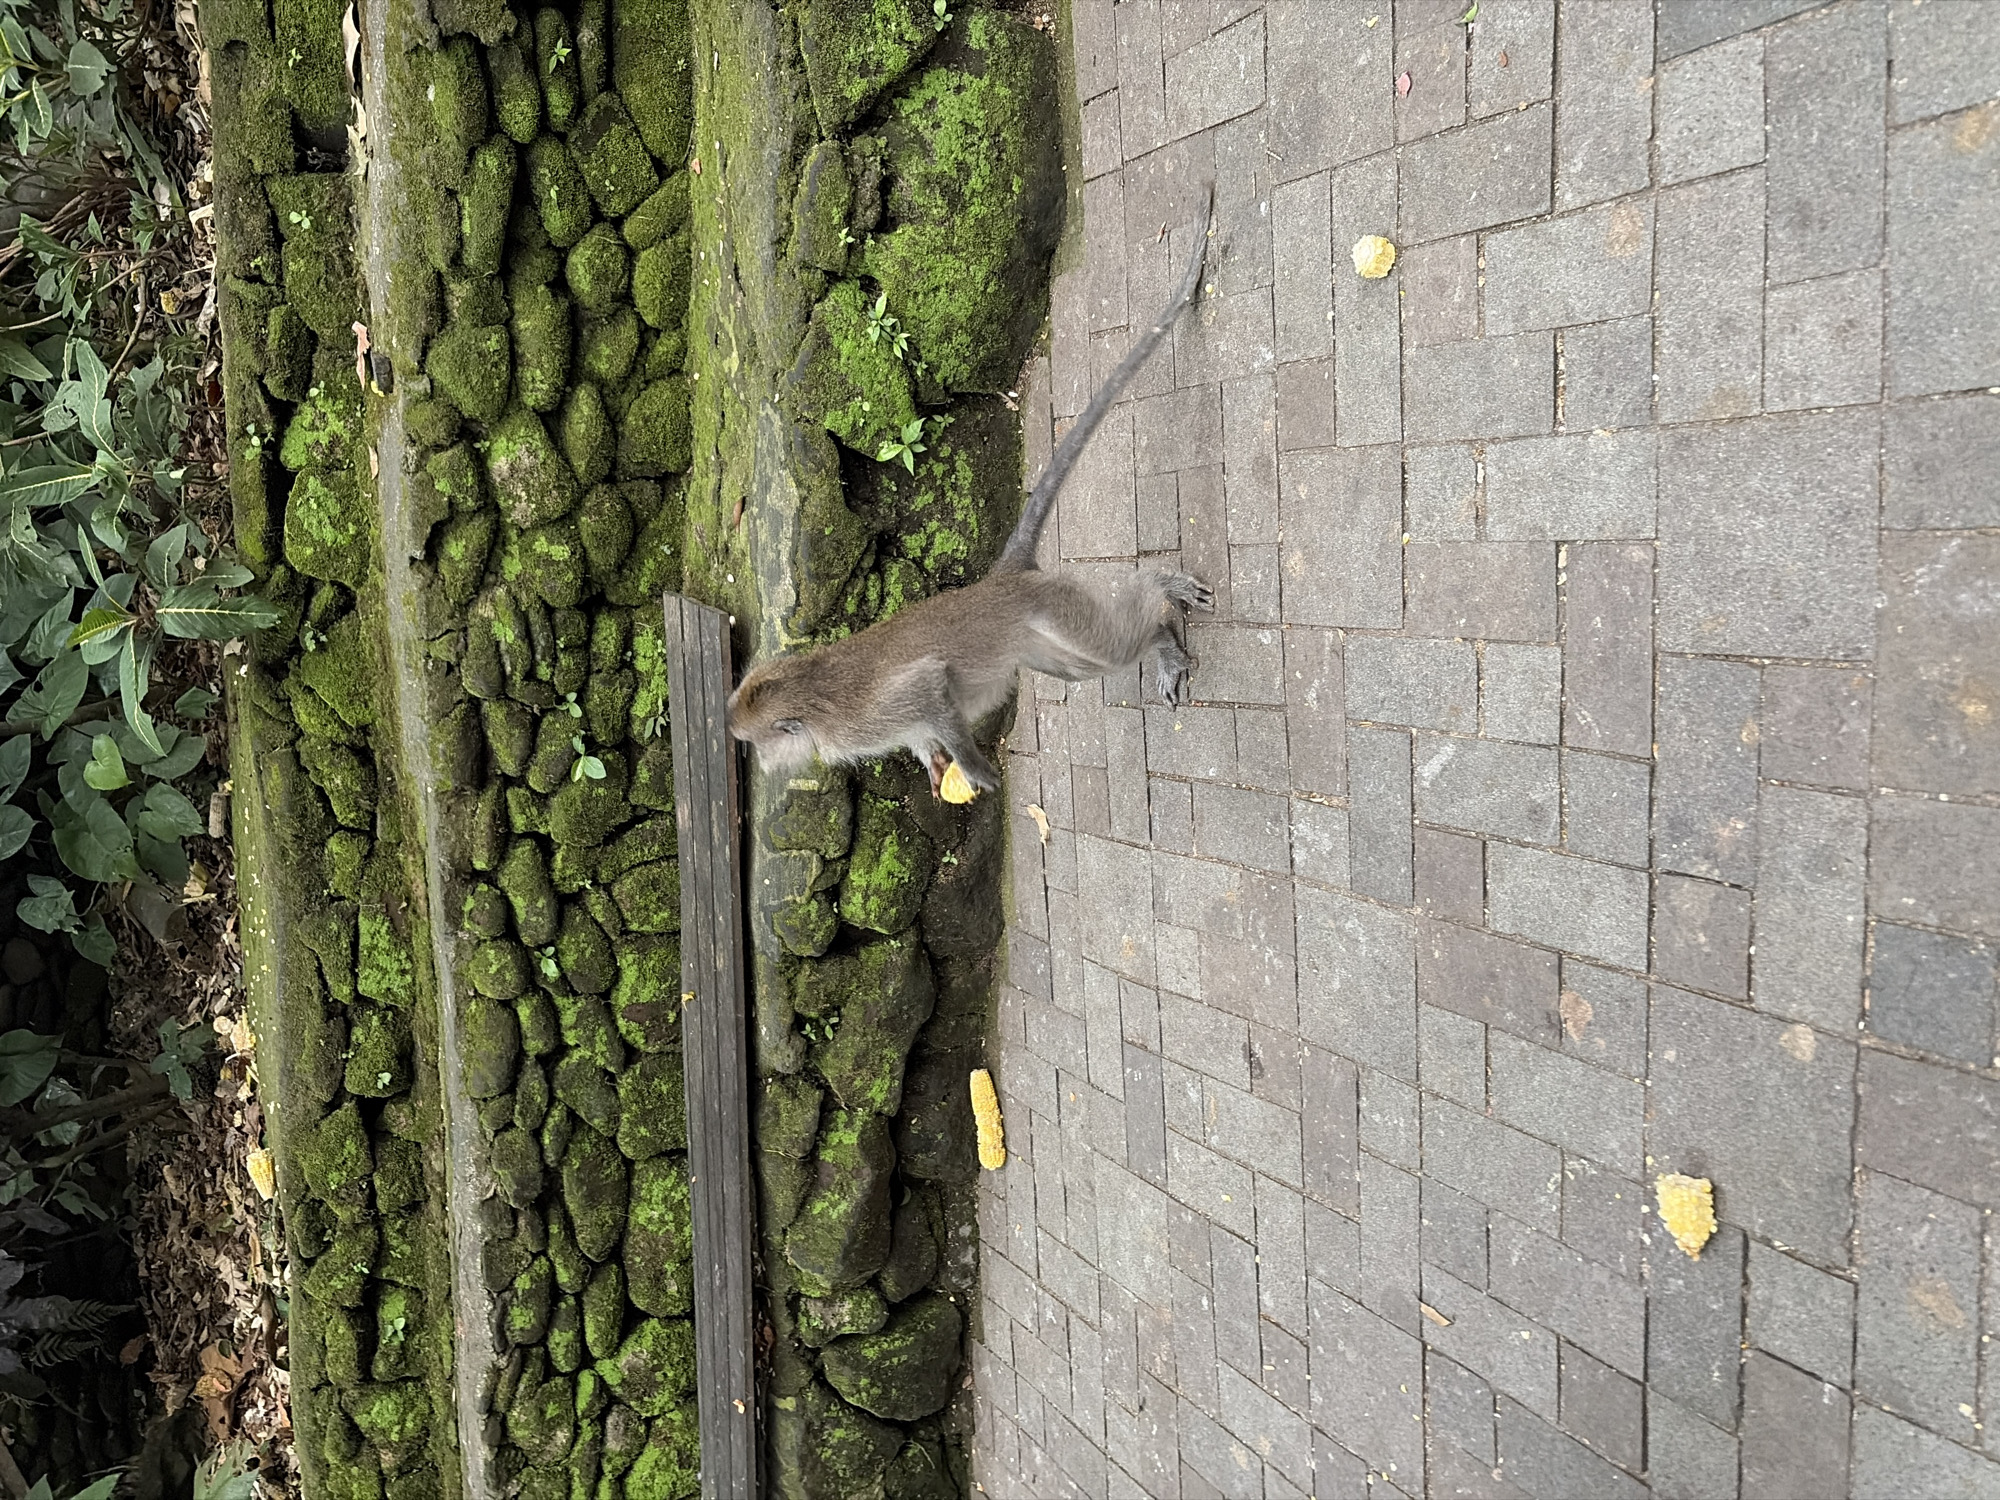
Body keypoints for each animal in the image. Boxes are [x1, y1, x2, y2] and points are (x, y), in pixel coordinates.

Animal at [728, 185, 1218, 800]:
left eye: (758, 744)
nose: (767, 766)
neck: (815, 696)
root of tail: (999, 580)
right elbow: (922, 732)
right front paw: (936, 763)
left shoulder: (869, 714)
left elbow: (932, 689)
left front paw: (971, 763)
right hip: (1038, 628)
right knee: (1072, 666)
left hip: (1046, 608)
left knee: (1108, 650)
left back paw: (1159, 611)